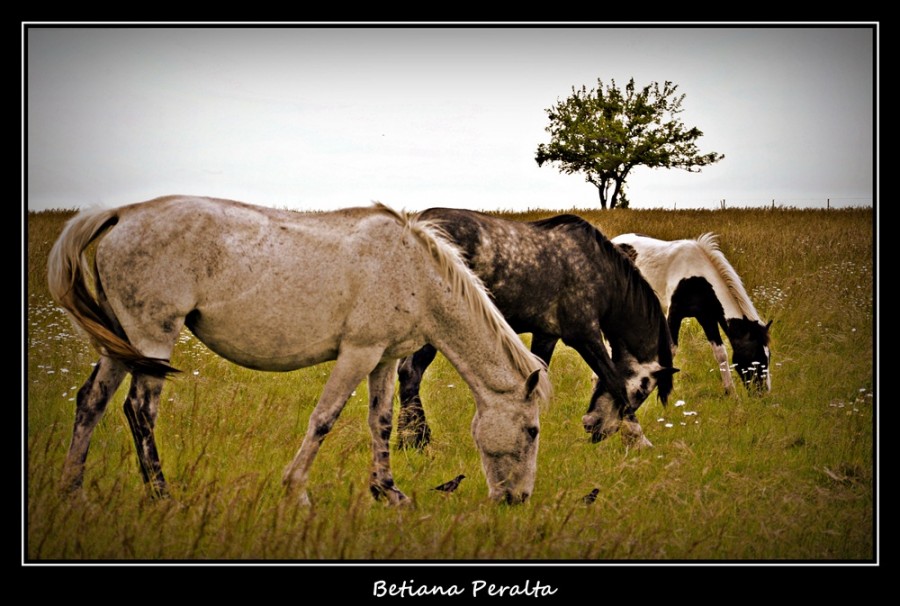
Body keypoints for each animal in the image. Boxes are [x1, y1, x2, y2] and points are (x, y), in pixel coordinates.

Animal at [51, 197, 556, 506]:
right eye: (532, 431)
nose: (517, 500)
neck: (414, 271)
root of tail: (122, 214)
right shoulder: (358, 353)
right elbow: (324, 420)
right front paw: (297, 492)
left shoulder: (384, 358)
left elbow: (381, 422)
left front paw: (388, 492)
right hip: (152, 337)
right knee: (139, 410)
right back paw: (161, 495)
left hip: (123, 342)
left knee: (91, 402)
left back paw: (73, 491)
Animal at [398, 209, 680, 452]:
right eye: (643, 390)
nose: (593, 427)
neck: (600, 270)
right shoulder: (585, 336)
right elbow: (615, 382)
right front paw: (639, 439)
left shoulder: (547, 336)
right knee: (411, 372)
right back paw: (416, 440)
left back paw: (408, 440)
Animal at [612, 230, 772, 396]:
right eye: (755, 356)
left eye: (769, 357)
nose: (763, 393)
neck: (696, 278)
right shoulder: (674, 314)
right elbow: (670, 350)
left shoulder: (707, 317)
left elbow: (721, 353)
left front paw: (731, 393)